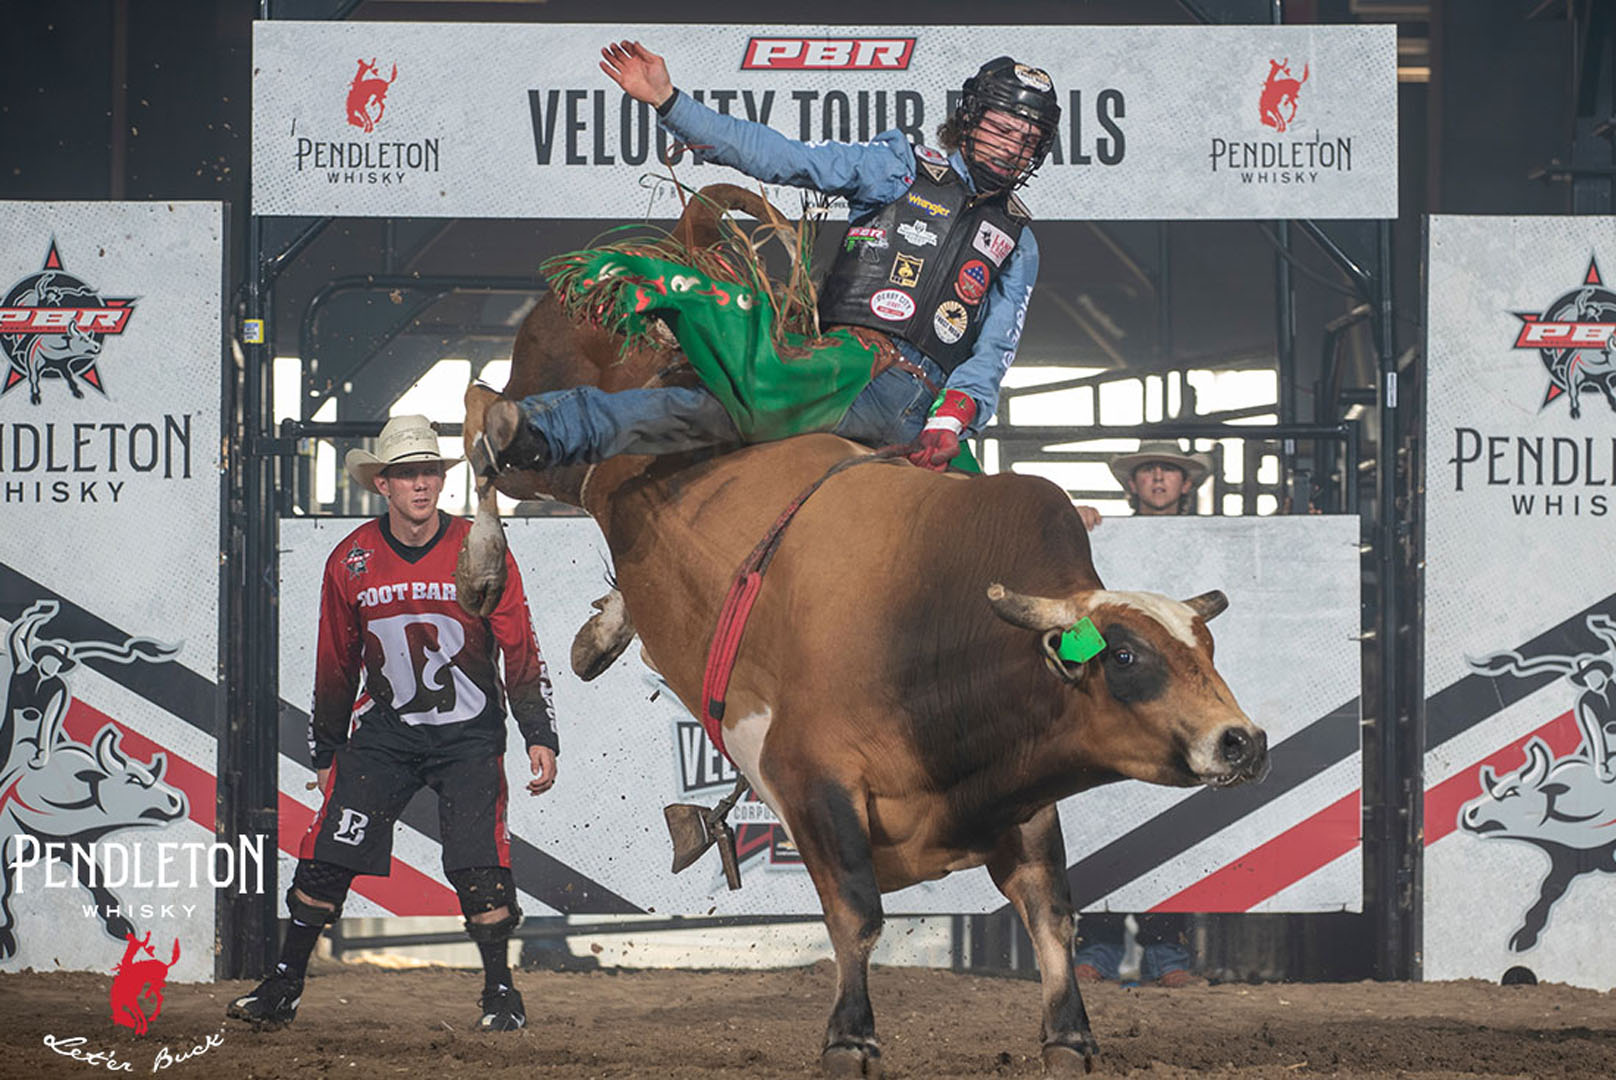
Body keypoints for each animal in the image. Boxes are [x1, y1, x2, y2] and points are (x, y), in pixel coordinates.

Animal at [454, 187, 1268, 1076]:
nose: (1242, 741)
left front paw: (1070, 1035)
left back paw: (601, 632)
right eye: (1123, 654)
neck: (937, 630)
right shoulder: (811, 779)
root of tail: (670, 254)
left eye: (1207, 650)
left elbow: (1051, 911)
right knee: (485, 414)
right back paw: (486, 547)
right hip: (553, 417)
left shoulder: (1023, 802)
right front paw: (851, 1035)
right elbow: (857, 912)